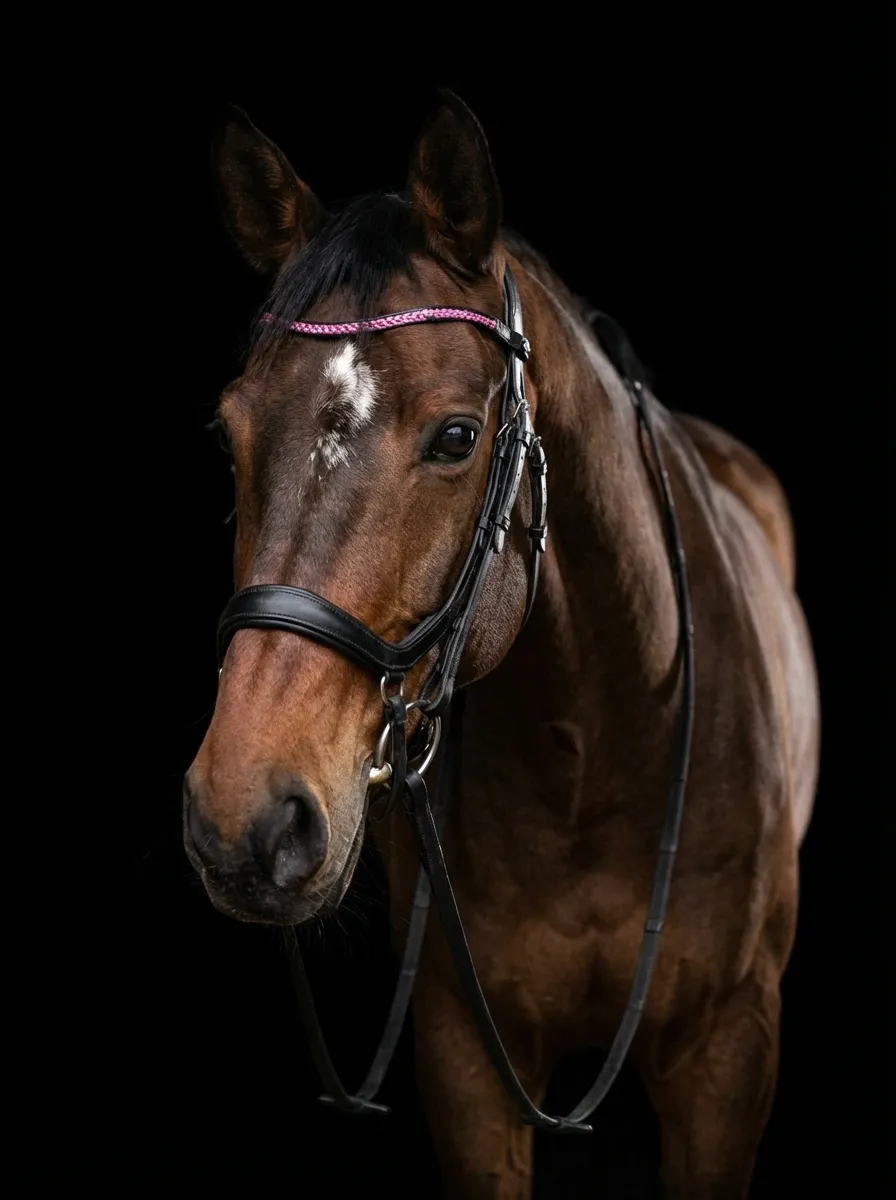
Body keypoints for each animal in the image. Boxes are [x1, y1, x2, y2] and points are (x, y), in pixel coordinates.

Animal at [184, 92, 819, 1198]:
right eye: (228, 436)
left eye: (454, 437)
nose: (244, 818)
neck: (590, 756)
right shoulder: (465, 1066)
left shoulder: (728, 1056)